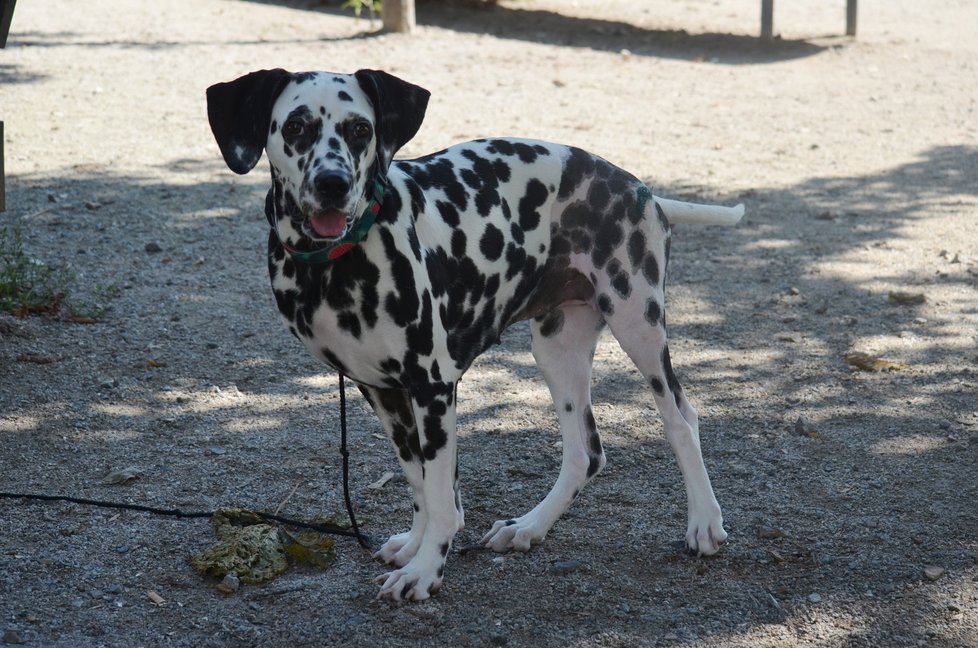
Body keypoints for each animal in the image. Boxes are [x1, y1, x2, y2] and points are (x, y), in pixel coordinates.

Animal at [208, 68, 740, 600]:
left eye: (360, 129)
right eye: (295, 127)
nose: (332, 184)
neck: (335, 266)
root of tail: (639, 189)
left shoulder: (433, 386)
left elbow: (442, 498)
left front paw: (425, 570)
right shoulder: (383, 391)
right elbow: (420, 481)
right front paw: (415, 546)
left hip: (638, 327)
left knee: (681, 420)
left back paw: (704, 522)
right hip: (557, 351)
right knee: (585, 453)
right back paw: (529, 526)